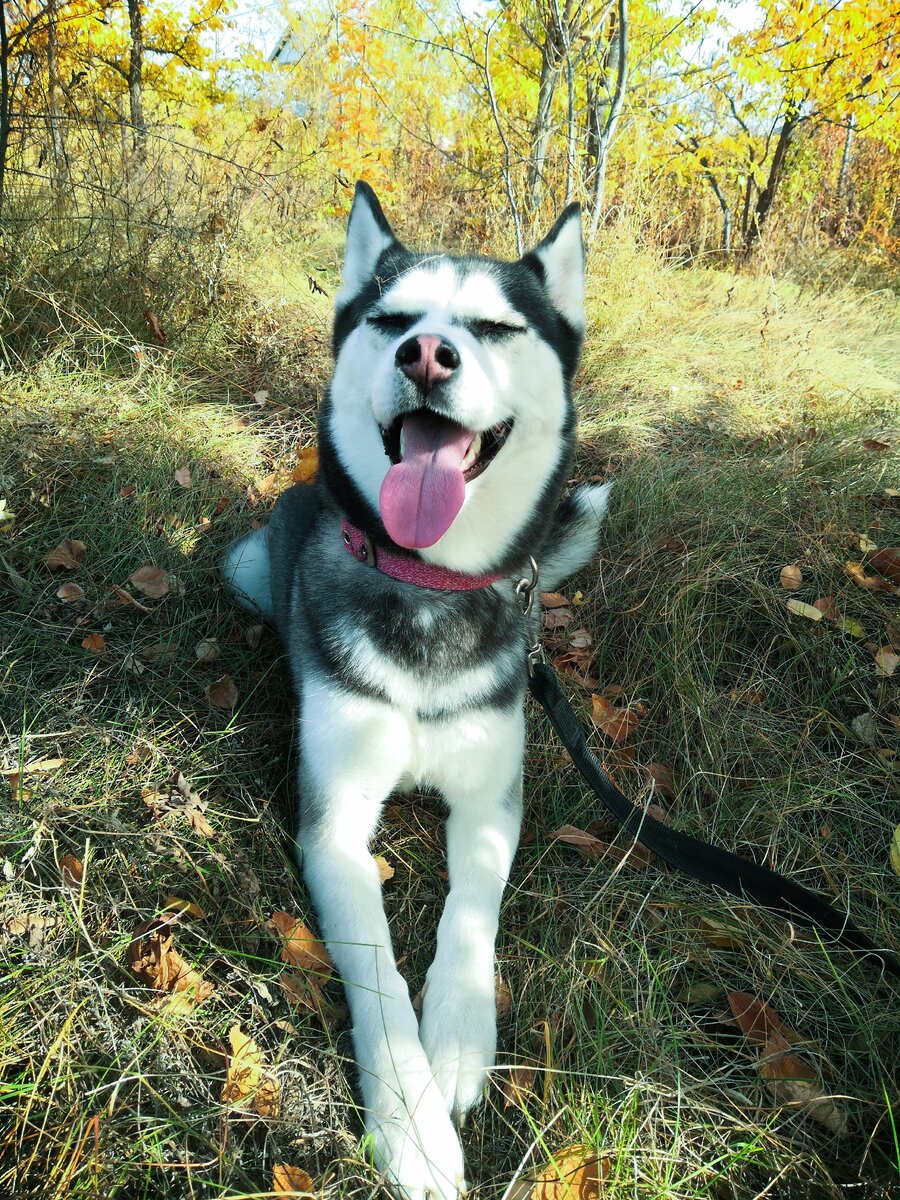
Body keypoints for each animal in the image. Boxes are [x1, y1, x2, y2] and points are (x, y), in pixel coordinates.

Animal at [222, 184, 614, 1200]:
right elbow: (377, 967)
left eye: (496, 327)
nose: (427, 355)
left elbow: (470, 915)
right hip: (247, 564)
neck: (431, 585)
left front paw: (459, 1045)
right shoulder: (334, 823)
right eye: (392, 321)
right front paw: (412, 1122)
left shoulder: (490, 801)